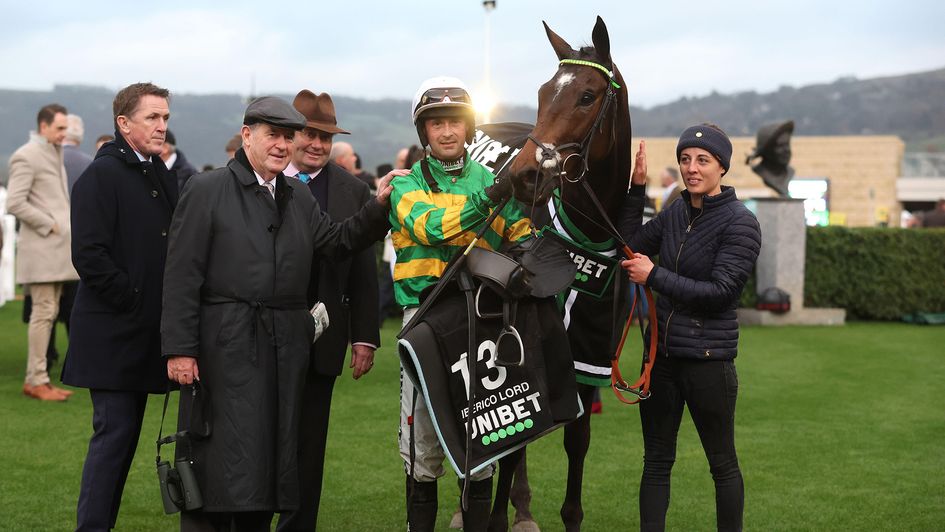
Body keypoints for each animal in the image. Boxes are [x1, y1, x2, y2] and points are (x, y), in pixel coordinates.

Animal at [486, 16, 636, 532]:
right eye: (543, 91)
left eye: (587, 96)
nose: (523, 175)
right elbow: (512, 443)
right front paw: (492, 516)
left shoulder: (588, 359)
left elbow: (576, 440)